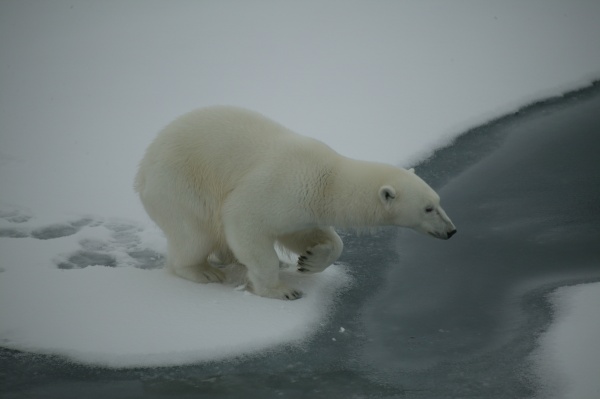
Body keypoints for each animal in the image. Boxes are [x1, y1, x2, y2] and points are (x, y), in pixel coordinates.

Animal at [135, 106, 454, 300]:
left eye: (439, 201)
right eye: (428, 208)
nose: (452, 231)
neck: (328, 178)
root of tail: (142, 169)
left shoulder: (304, 204)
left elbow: (304, 233)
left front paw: (309, 261)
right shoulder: (282, 185)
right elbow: (244, 219)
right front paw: (281, 290)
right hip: (180, 184)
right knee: (194, 233)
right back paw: (203, 270)